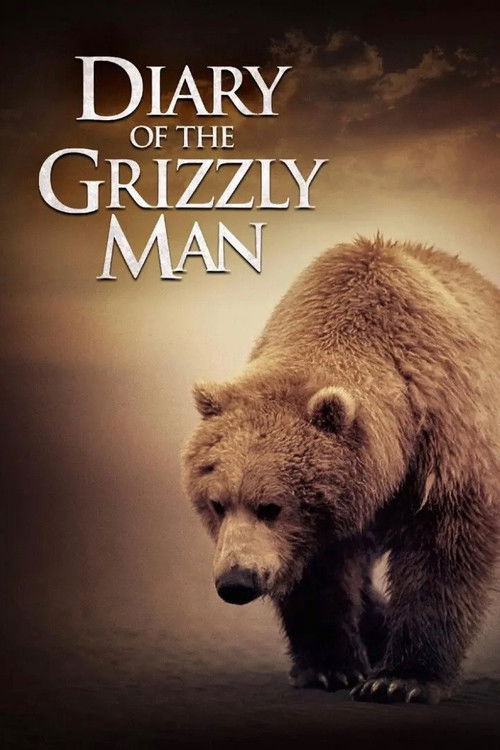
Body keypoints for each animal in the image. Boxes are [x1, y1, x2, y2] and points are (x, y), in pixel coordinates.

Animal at [182, 236, 500, 704]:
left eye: (270, 506)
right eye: (217, 503)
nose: (237, 581)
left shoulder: (444, 440)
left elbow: (443, 550)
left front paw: (401, 679)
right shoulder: (325, 516)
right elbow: (318, 572)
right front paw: (330, 667)